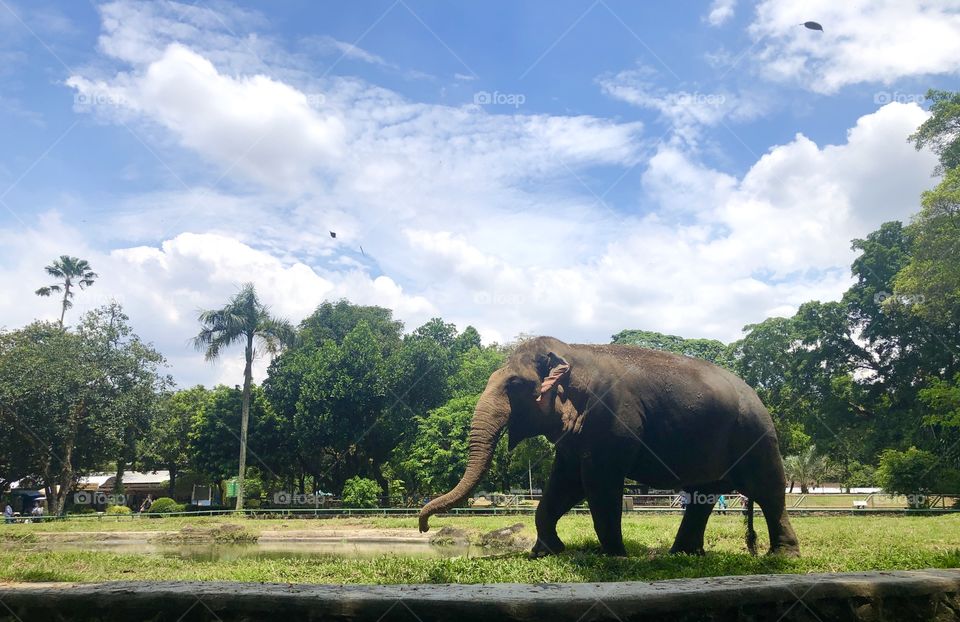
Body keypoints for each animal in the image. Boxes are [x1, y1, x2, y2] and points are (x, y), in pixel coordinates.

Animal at [419, 336, 800, 558]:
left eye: (514, 384)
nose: (423, 527)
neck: (571, 351)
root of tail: (757, 394)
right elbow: (564, 485)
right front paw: (547, 552)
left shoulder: (611, 418)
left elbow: (599, 485)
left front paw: (615, 557)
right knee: (701, 497)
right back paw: (683, 554)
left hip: (757, 436)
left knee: (768, 492)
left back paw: (781, 557)